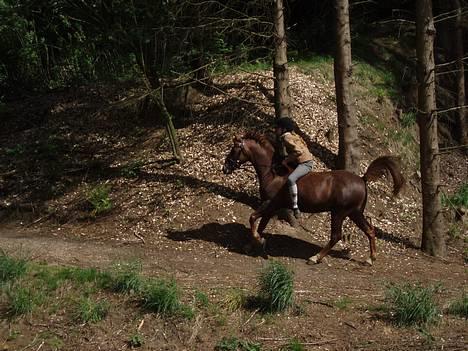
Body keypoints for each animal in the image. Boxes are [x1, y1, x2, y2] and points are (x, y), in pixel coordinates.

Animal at [221, 133, 404, 266]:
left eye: (234, 149)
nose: (225, 168)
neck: (272, 172)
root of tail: (362, 179)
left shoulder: (268, 203)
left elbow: (253, 218)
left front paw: (258, 241)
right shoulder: (272, 207)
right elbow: (260, 225)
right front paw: (253, 244)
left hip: (339, 213)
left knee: (336, 236)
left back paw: (315, 258)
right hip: (355, 213)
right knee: (370, 231)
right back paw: (370, 259)